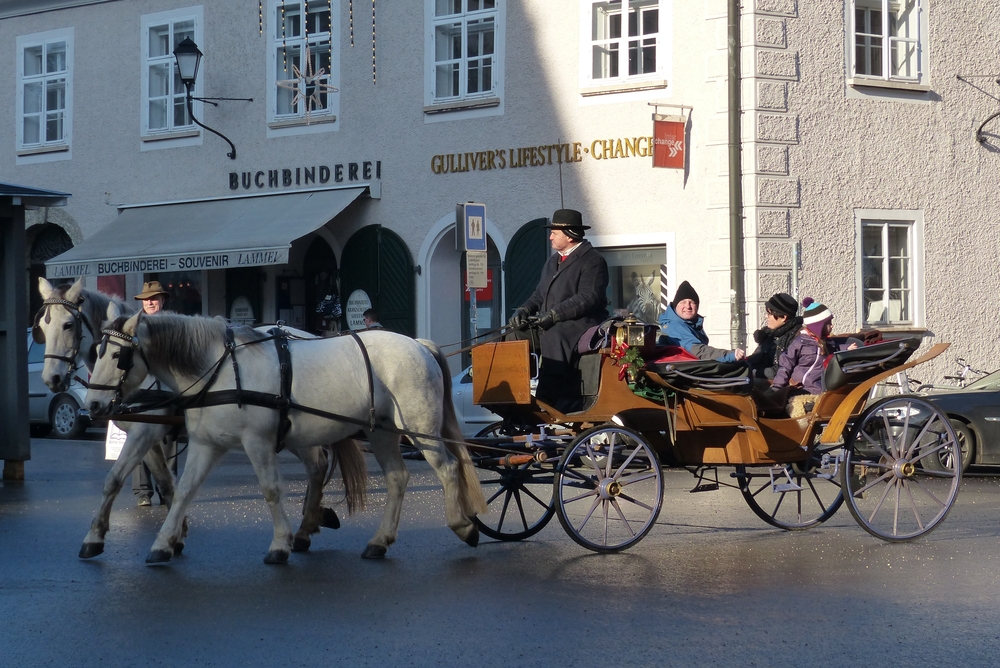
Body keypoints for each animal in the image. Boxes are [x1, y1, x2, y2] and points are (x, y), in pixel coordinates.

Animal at [35, 276, 354, 560]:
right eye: (42, 327)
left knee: (317, 466)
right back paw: (309, 523)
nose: (52, 379)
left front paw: (97, 536)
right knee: (317, 466)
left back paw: (305, 527)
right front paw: (176, 535)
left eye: (68, 324)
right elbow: (166, 484)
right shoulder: (148, 436)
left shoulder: (144, 433)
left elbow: (115, 479)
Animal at [86, 310, 484, 560]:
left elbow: (271, 490)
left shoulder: (257, 442)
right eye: (97, 351)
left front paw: (280, 544)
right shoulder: (205, 444)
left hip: (419, 428)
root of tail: (418, 344)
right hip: (381, 432)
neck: (218, 370)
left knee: (448, 468)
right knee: (397, 477)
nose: (93, 404)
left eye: (120, 357)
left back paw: (462, 524)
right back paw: (378, 540)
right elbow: (182, 491)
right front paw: (163, 542)